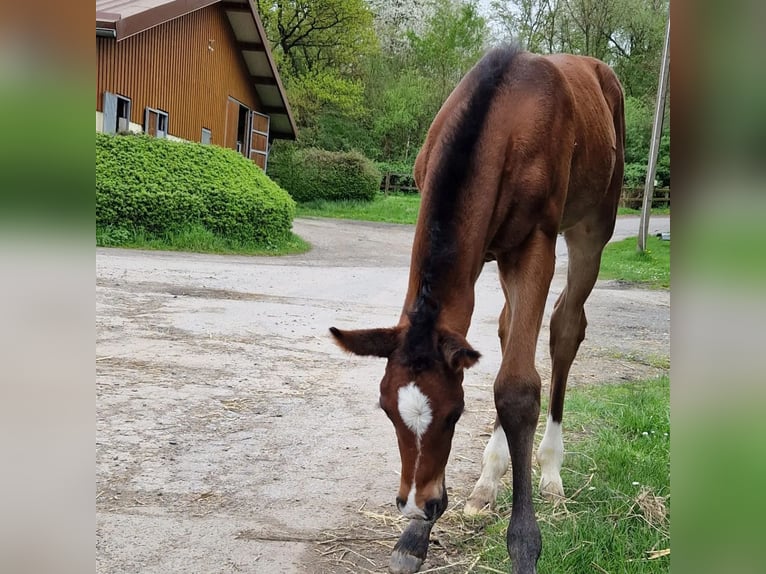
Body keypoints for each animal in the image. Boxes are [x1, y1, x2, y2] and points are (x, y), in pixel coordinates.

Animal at [330, 45, 624, 574]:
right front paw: (413, 539)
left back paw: (550, 469)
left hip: (592, 227)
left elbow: (517, 388)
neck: (501, 111)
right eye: (386, 410)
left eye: (454, 415)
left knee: (566, 328)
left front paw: (524, 545)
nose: (417, 504)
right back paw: (487, 481)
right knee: (510, 330)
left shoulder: (534, 244)